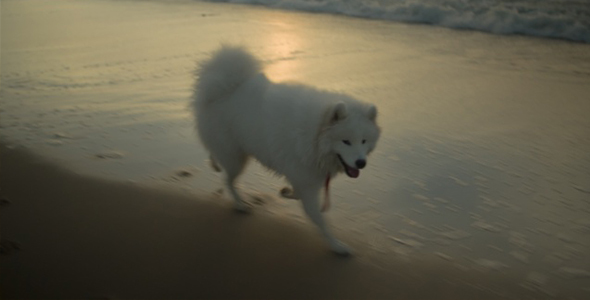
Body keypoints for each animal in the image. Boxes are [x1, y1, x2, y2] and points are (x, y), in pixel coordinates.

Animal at [192, 45, 382, 254]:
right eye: (346, 141)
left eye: (364, 141)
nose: (361, 163)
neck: (314, 135)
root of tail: (222, 88)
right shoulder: (306, 180)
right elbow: (320, 220)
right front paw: (337, 246)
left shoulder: (305, 177)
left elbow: (298, 194)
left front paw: (287, 192)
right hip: (235, 157)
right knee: (227, 180)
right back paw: (240, 204)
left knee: (216, 159)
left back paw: (215, 164)